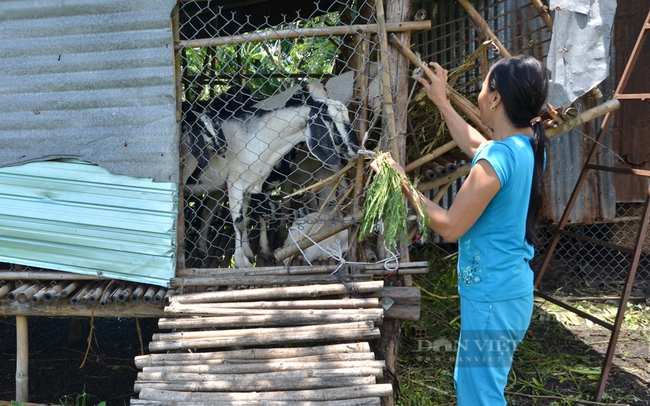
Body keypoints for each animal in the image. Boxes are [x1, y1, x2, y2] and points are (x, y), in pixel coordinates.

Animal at [181, 81, 360, 268]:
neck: (260, 136)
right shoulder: (236, 183)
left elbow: (249, 219)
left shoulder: (252, 184)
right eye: (329, 119)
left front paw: (252, 252)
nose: (354, 149)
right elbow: (240, 222)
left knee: (206, 214)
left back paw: (202, 247)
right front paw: (243, 261)